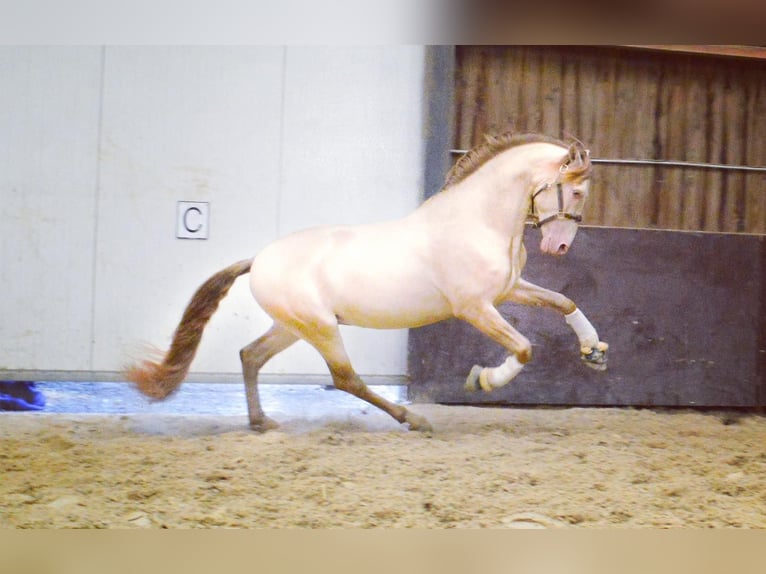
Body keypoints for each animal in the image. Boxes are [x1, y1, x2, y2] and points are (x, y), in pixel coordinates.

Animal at [126, 132, 608, 432]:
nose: (559, 247)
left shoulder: (508, 290)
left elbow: (563, 302)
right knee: (345, 379)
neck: (478, 222)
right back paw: (413, 420)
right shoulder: (474, 307)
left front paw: (594, 351)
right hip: (320, 328)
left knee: (251, 356)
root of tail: (258, 259)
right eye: (576, 191)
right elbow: (524, 348)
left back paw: (261, 422)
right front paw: (483, 380)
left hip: (292, 327)